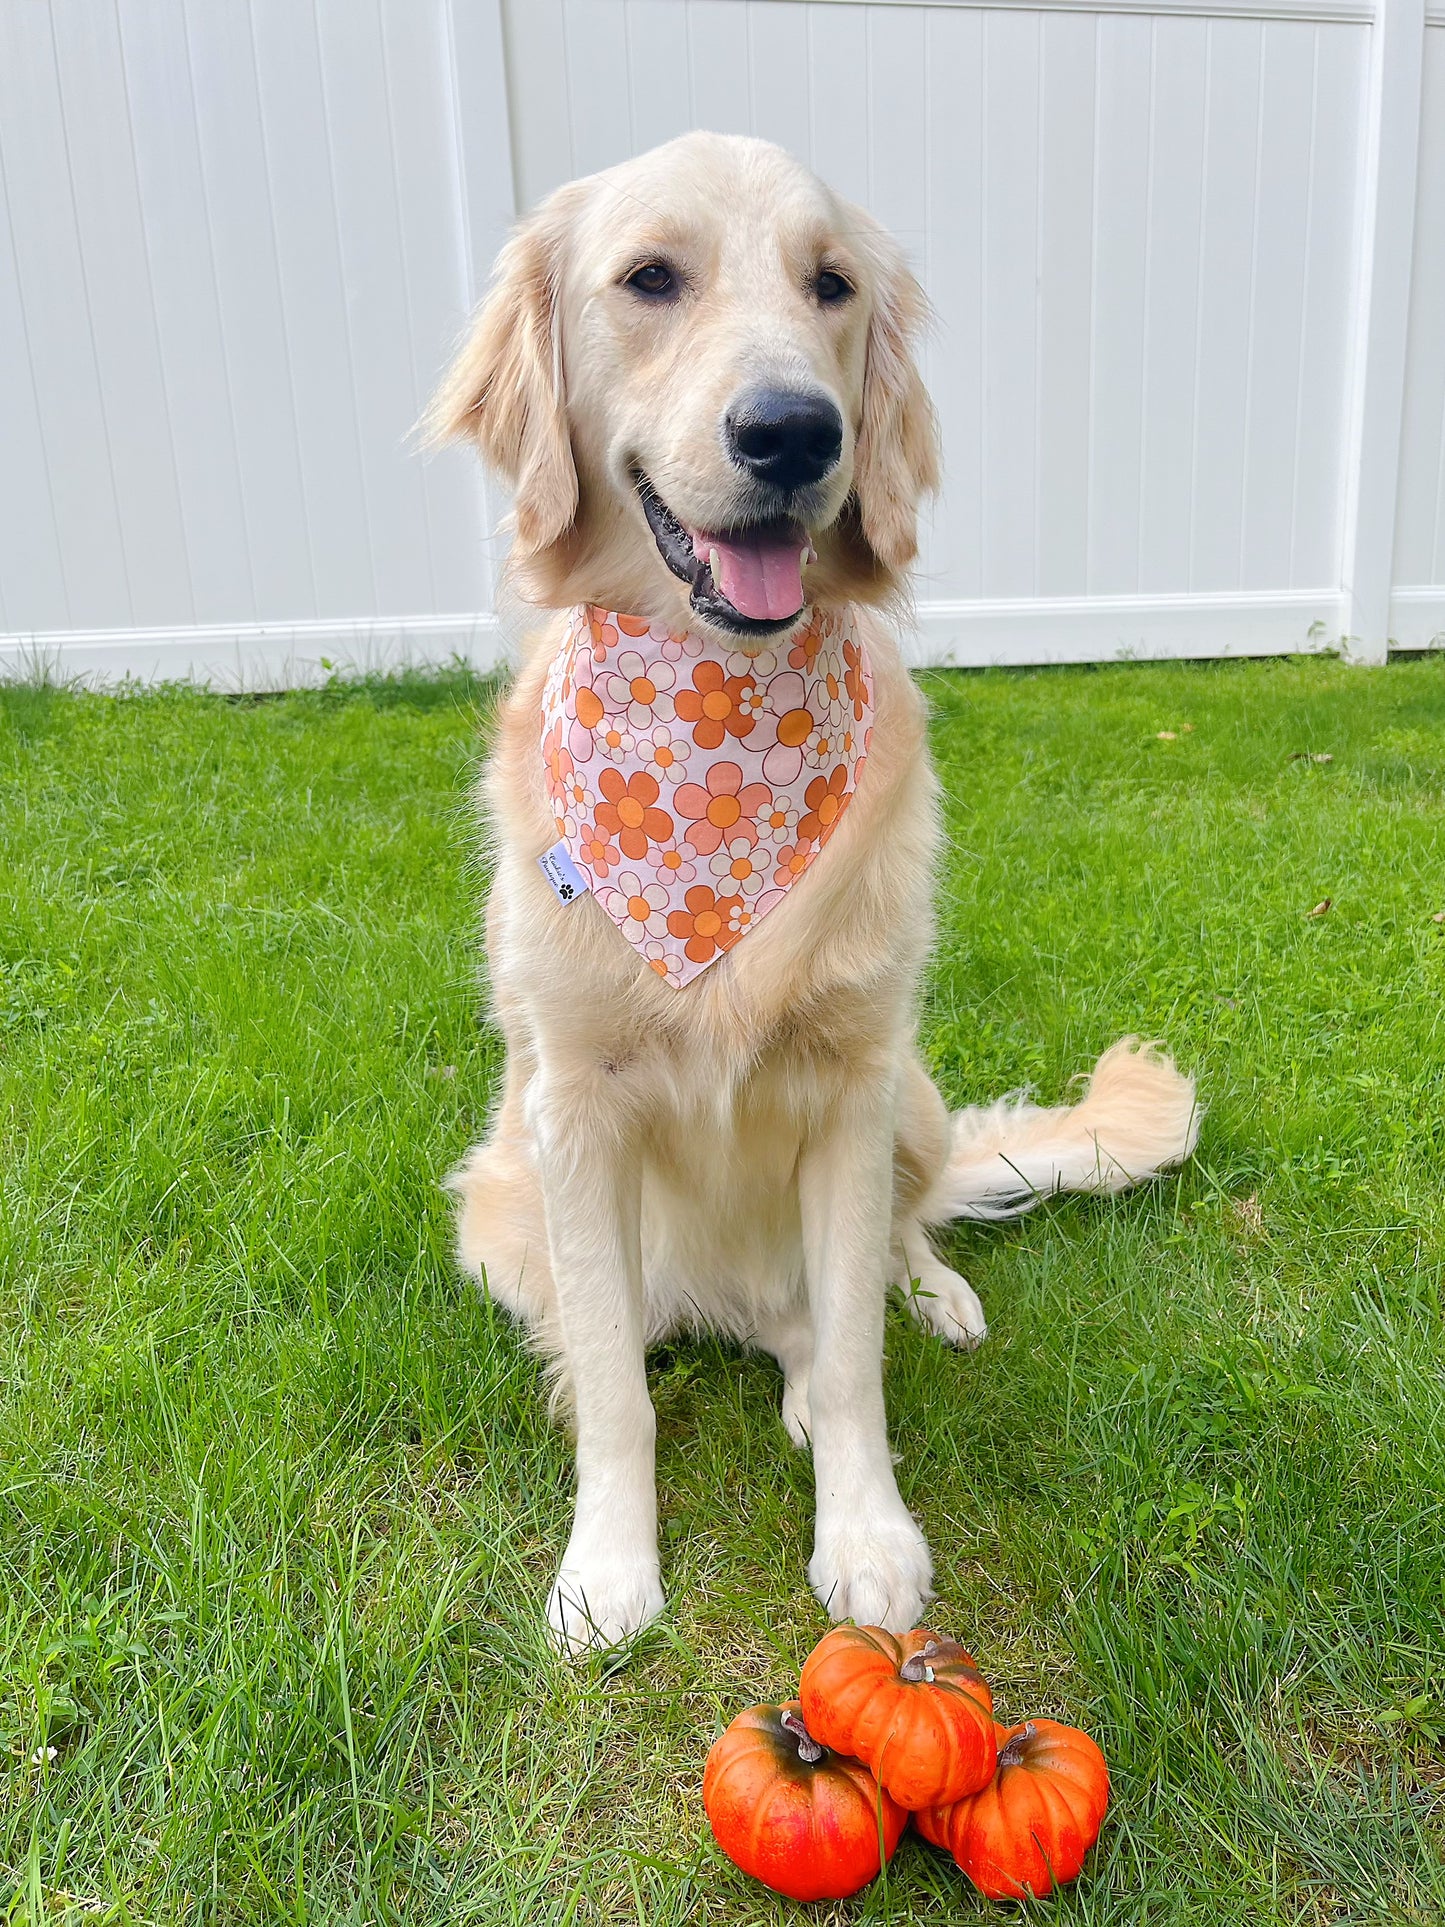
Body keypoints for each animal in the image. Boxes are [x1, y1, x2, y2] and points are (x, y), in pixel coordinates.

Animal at [429, 128, 1202, 1649]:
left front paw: (868, 1534)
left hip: (906, 1091)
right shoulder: (571, 1109)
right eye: (649, 278)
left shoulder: (848, 1084)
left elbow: (852, 1356)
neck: (717, 707)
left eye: (831, 285)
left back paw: (931, 1294)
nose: (794, 431)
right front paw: (607, 1566)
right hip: (495, 1204)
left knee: (880, 1253)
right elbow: (613, 1385)